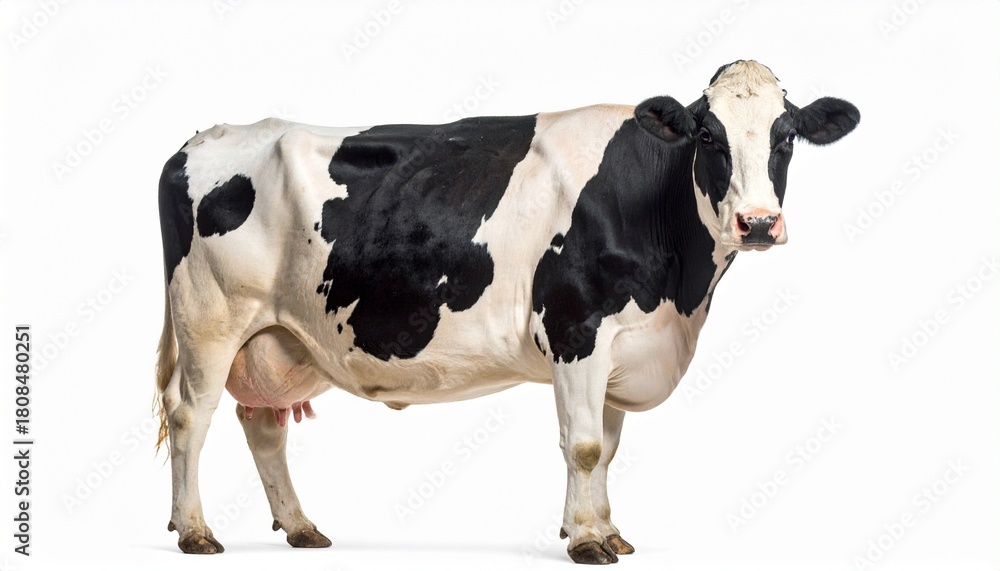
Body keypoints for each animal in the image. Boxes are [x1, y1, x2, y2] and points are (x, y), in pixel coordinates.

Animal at [155, 60, 859, 564]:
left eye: (786, 137)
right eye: (708, 136)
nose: (758, 223)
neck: (678, 295)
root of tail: (200, 138)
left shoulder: (620, 346)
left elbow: (607, 448)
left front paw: (608, 530)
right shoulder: (576, 328)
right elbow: (582, 445)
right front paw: (586, 541)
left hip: (279, 336)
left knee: (262, 423)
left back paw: (300, 527)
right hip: (209, 318)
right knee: (191, 415)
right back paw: (194, 532)